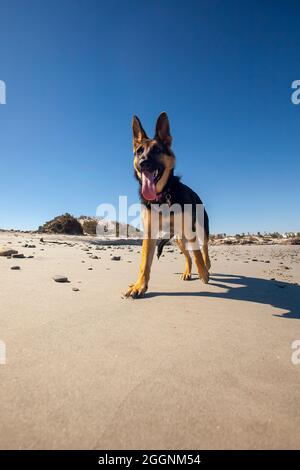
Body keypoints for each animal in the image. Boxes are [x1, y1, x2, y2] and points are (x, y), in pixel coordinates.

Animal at [125, 112, 210, 298]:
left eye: (157, 150)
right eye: (139, 151)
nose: (143, 163)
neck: (162, 196)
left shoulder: (190, 229)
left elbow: (197, 253)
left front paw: (203, 274)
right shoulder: (149, 234)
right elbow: (144, 263)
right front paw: (139, 285)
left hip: (200, 230)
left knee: (203, 248)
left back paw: (206, 266)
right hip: (178, 239)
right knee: (187, 256)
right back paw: (187, 272)